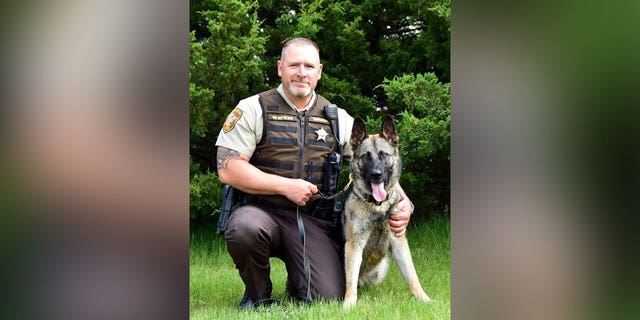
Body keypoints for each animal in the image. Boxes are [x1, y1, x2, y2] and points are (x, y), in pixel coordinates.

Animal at [342, 115, 432, 308]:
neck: (378, 205)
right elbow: (350, 280)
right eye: (366, 157)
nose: (376, 174)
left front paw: (424, 298)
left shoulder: (399, 242)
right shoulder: (354, 244)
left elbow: (412, 275)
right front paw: (349, 305)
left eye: (384, 155)